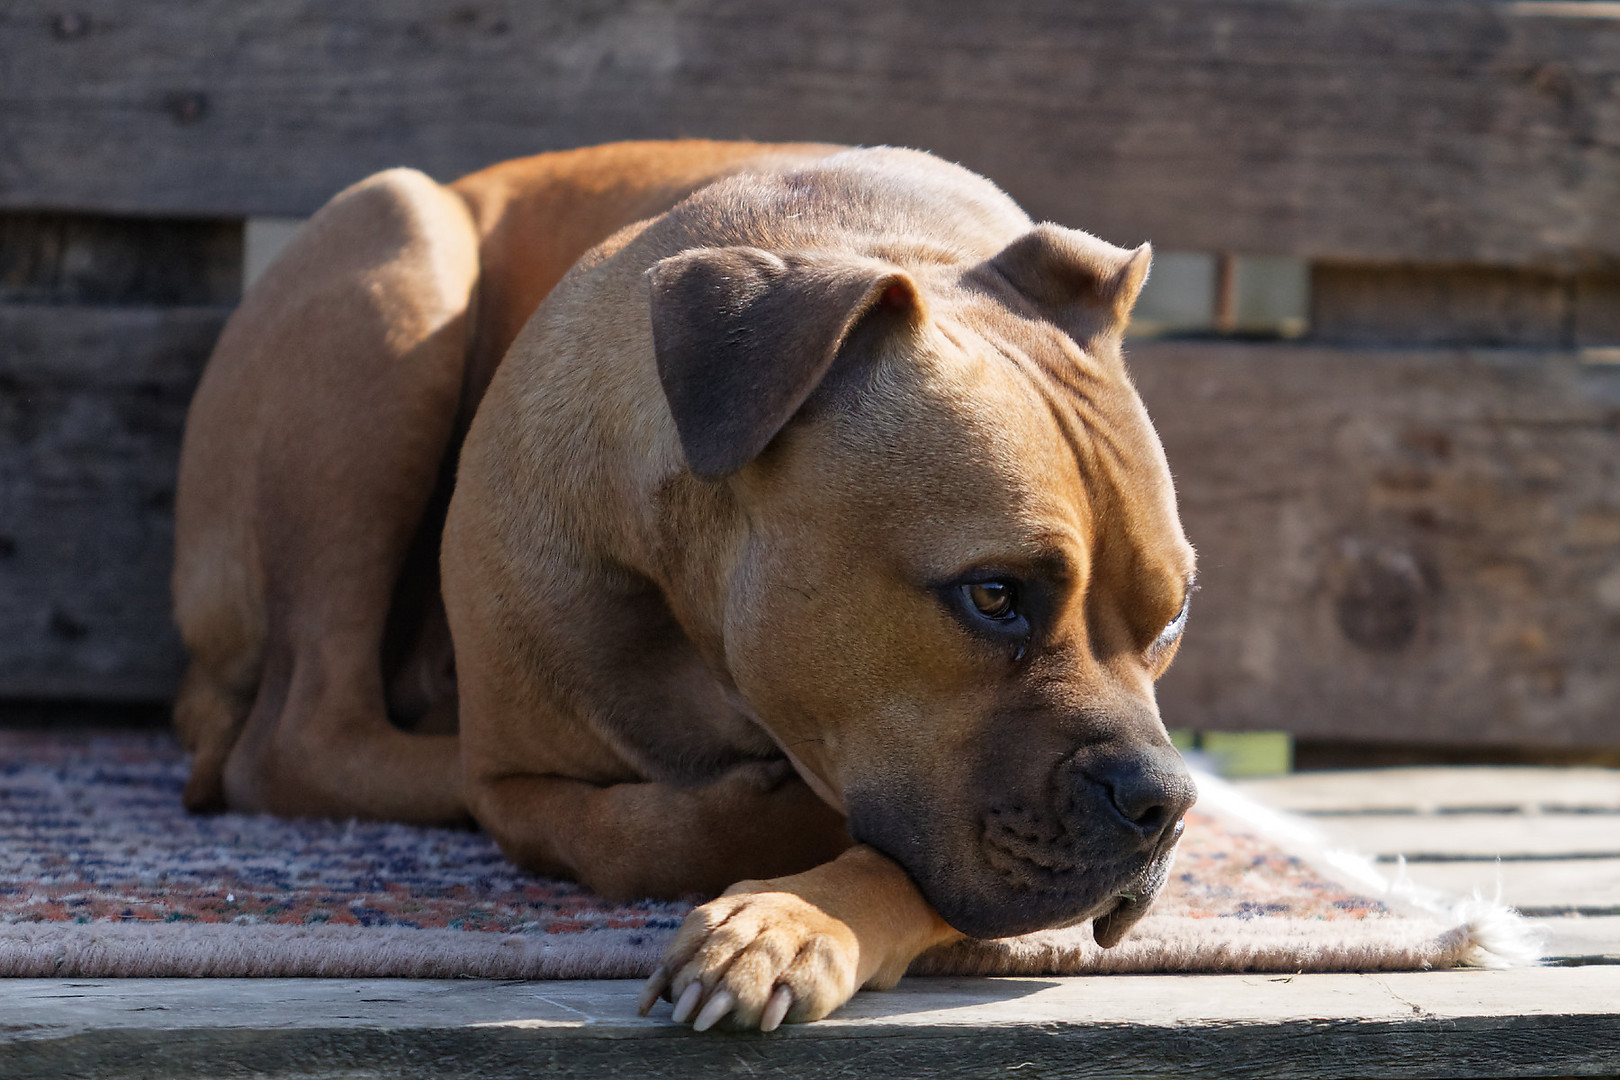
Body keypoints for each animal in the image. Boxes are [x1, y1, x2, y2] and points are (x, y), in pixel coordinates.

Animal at [170, 141, 1198, 1029]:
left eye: (1175, 615)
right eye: (993, 596)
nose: (1165, 803)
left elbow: (896, 865)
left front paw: (790, 923)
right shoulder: (514, 780)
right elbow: (636, 837)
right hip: (400, 256)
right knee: (301, 736)